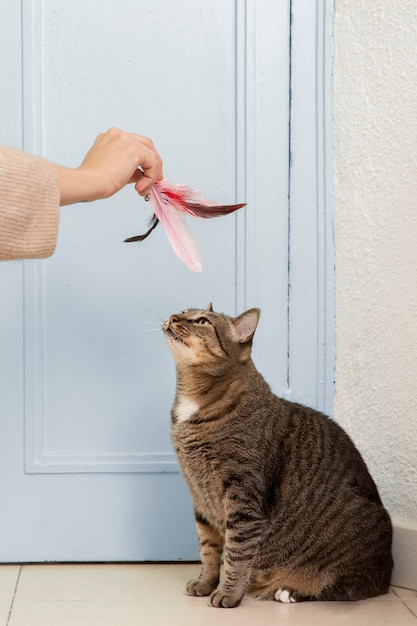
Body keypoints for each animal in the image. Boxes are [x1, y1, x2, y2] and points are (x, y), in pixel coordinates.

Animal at [162, 304, 390, 608]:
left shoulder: (244, 499)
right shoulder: (201, 500)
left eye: (202, 321)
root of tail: (388, 574)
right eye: (184, 311)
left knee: (349, 589)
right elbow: (208, 550)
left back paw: (289, 591)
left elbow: (236, 553)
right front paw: (205, 583)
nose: (173, 317)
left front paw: (229, 593)